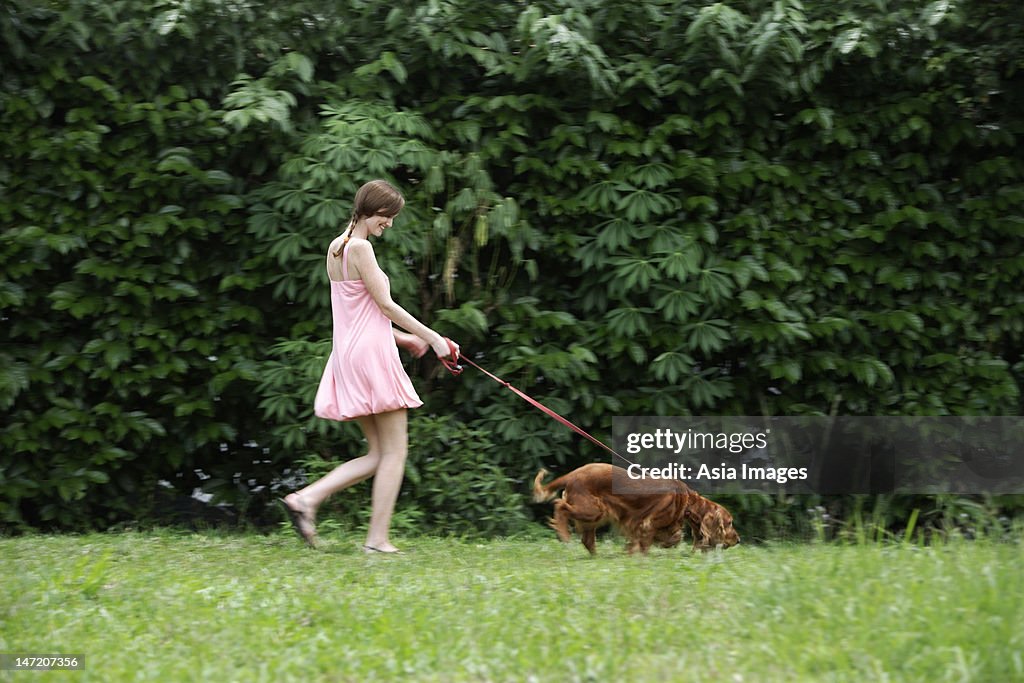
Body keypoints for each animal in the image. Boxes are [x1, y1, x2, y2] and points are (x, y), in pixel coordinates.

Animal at [532, 464, 741, 557]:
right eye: (730, 523)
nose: (738, 540)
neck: (688, 501)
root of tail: (573, 474)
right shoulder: (647, 523)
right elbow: (662, 539)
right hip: (591, 509)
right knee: (559, 506)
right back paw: (564, 534)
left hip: (595, 514)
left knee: (587, 539)